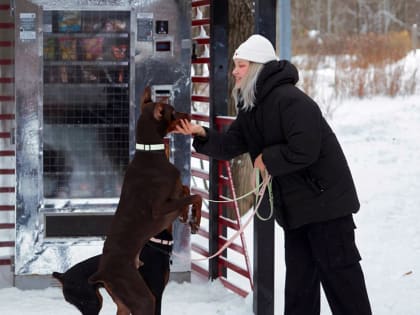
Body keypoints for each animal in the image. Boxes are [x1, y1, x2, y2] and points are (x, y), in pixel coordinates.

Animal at [89, 87, 202, 315]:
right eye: (174, 112)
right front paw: (195, 218)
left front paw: (187, 216)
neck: (150, 151)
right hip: (144, 299)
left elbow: (186, 190)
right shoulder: (159, 209)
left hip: (125, 303)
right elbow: (195, 195)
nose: (189, 115)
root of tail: (102, 272)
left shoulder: (175, 192)